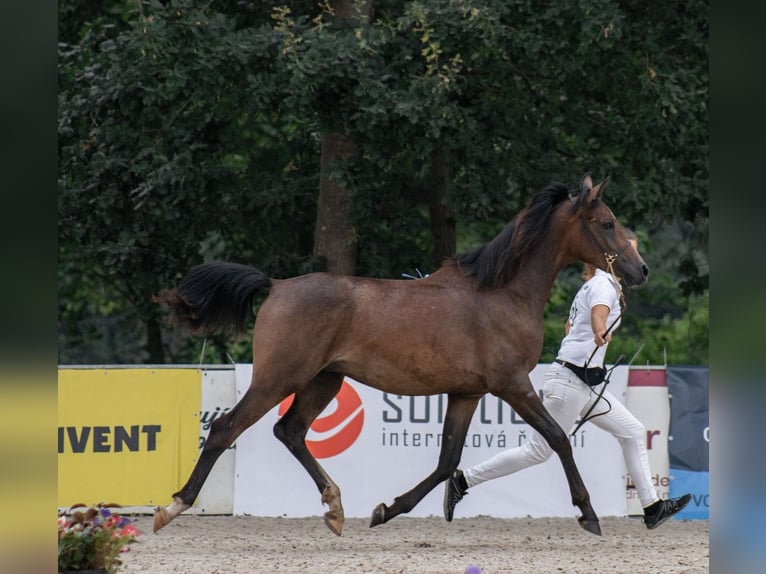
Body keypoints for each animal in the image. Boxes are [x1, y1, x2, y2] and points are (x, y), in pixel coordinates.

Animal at [154, 174, 648, 540]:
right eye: (606, 222)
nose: (639, 270)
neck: (502, 293)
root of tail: (275, 285)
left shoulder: (467, 394)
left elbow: (447, 461)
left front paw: (385, 510)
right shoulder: (513, 386)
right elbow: (559, 439)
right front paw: (588, 514)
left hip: (324, 380)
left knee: (289, 430)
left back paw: (335, 508)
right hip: (279, 378)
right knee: (226, 428)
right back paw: (172, 506)